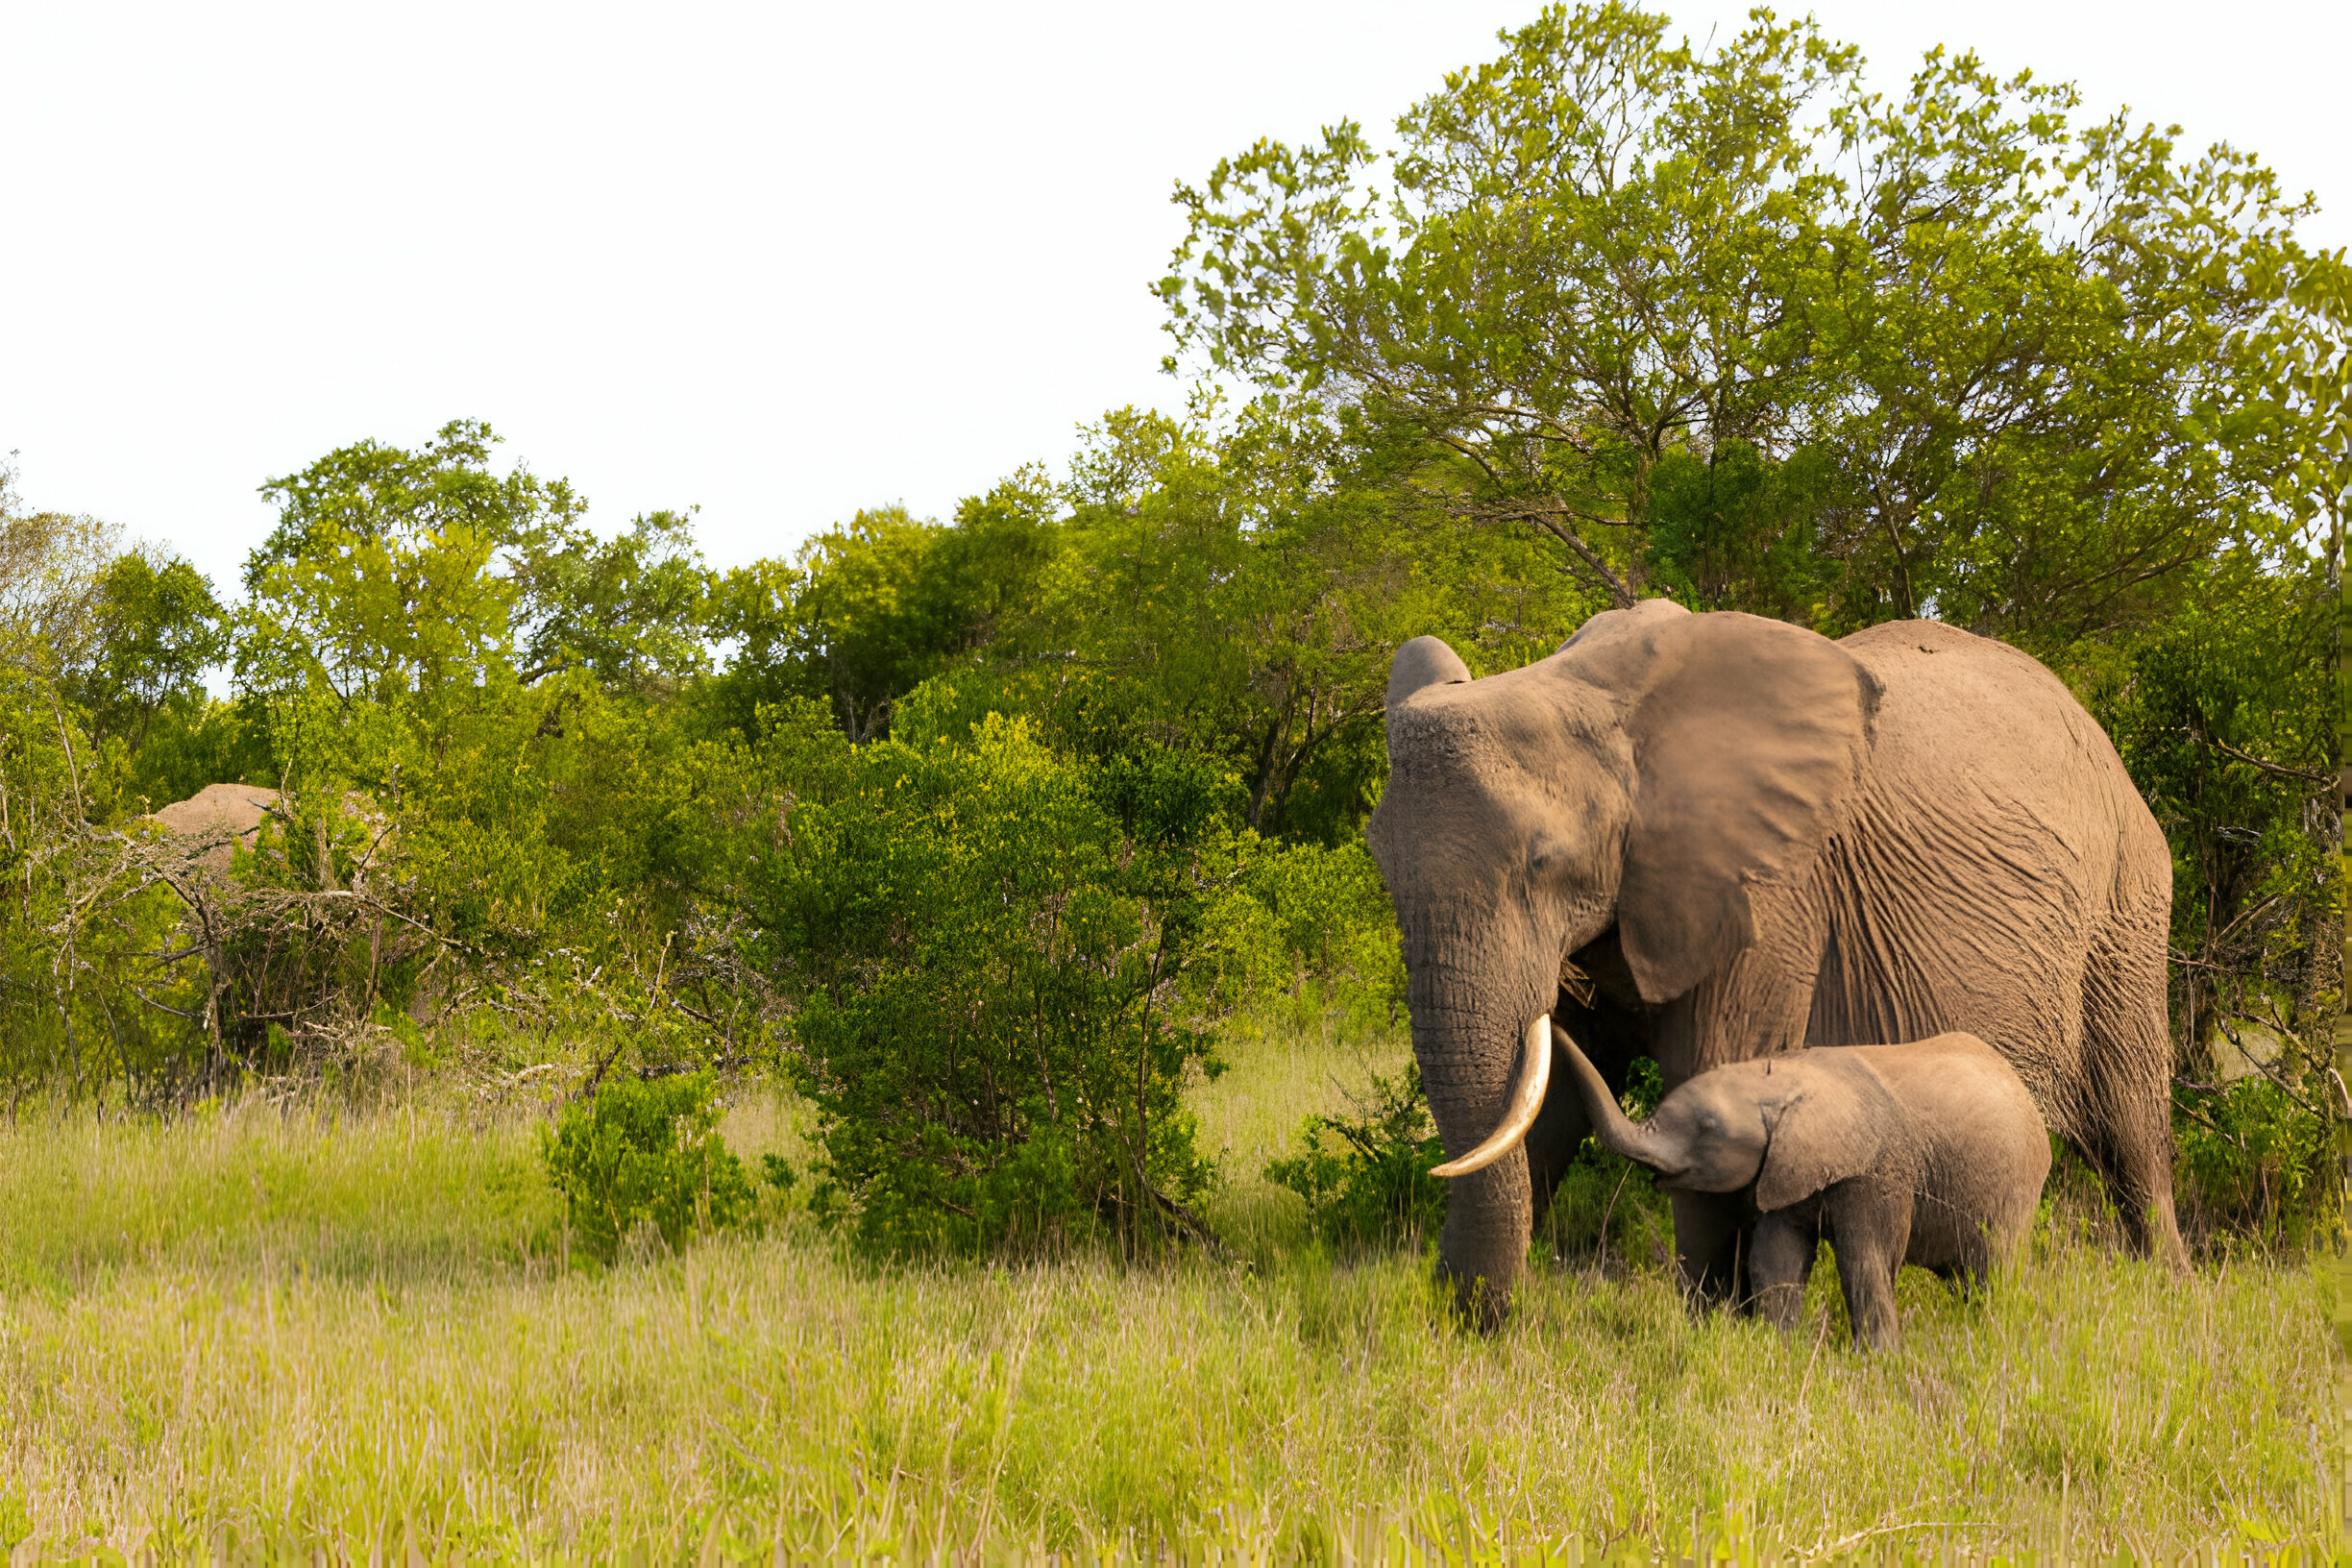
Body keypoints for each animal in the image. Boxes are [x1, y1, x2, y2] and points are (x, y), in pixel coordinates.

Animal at [1571, 1029, 2050, 1354]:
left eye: (1707, 1129)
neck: (1777, 1079)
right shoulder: (1781, 1170)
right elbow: (1775, 1259)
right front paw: (1778, 1350)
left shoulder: (1876, 1171)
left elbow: (1865, 1260)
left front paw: (1878, 1361)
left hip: (2018, 1188)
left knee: (1993, 1269)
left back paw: (1997, 1338)